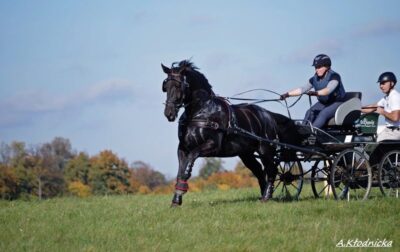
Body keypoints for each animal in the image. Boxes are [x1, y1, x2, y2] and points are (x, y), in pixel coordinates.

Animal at [161, 60, 302, 206]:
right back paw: (264, 194)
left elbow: (190, 159)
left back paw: (266, 196)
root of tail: (269, 115)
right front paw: (176, 199)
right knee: (259, 170)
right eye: (165, 86)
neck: (201, 112)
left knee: (272, 170)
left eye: (179, 85)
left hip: (266, 150)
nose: (169, 113)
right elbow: (180, 171)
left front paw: (181, 190)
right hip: (246, 154)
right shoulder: (182, 148)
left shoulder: (212, 145)